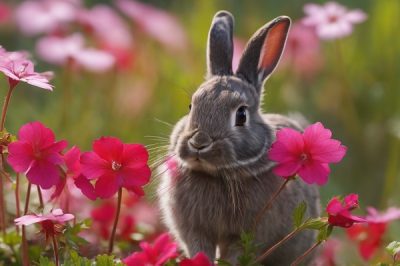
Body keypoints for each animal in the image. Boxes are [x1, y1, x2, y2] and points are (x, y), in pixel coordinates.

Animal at [158, 10, 320, 266]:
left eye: (241, 115)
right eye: (191, 106)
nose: (198, 143)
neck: (216, 174)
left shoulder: (246, 234)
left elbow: (234, 254)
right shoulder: (195, 230)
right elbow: (200, 249)